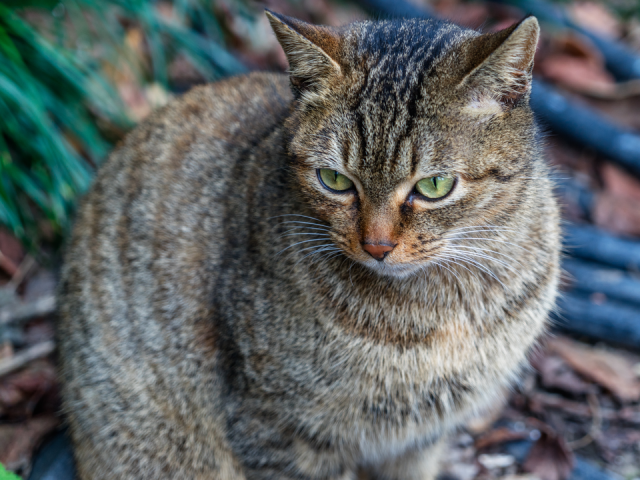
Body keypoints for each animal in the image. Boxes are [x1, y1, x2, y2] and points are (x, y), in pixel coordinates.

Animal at [58, 10, 560, 480]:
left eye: (434, 186)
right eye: (334, 180)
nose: (377, 245)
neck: (443, 312)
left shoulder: (421, 437)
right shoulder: (274, 425)